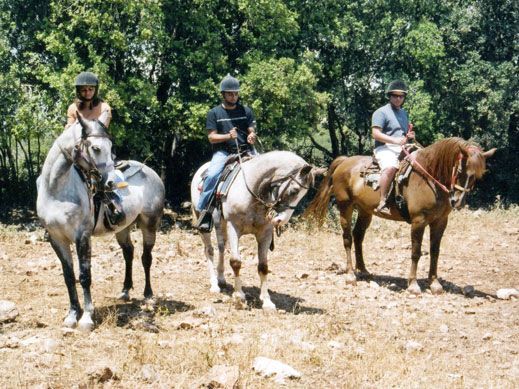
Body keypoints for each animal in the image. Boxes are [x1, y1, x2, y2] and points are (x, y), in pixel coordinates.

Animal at [36, 113, 165, 328]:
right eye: (95, 148)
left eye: (111, 148)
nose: (112, 182)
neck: (56, 190)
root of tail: (150, 171)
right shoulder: (57, 239)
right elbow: (69, 277)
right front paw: (72, 314)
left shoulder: (82, 237)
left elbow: (84, 276)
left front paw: (87, 317)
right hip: (123, 227)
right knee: (128, 253)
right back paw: (125, 290)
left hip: (149, 224)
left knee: (146, 257)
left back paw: (148, 294)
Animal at [190, 149, 324, 310]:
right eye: (294, 190)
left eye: (304, 196)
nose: (280, 220)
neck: (252, 190)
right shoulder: (233, 227)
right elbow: (236, 261)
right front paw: (239, 296)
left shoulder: (265, 232)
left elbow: (263, 266)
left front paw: (267, 301)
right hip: (203, 221)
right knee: (209, 250)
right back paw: (214, 285)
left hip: (220, 223)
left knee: (221, 247)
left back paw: (221, 278)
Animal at [306, 138, 498, 292]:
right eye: (459, 171)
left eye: (477, 176)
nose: (457, 202)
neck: (429, 178)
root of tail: (345, 161)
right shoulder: (418, 221)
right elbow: (416, 252)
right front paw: (413, 284)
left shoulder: (440, 221)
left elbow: (435, 251)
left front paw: (434, 283)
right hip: (345, 207)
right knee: (347, 238)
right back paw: (351, 274)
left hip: (365, 211)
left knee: (358, 236)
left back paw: (364, 271)